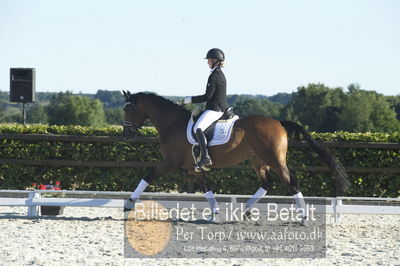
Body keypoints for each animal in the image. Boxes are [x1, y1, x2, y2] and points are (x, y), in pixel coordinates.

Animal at [122, 91, 350, 222]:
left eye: (128, 109)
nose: (126, 135)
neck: (172, 123)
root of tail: (278, 122)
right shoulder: (193, 168)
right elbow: (207, 188)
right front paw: (214, 214)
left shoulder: (170, 162)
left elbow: (147, 177)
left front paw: (129, 203)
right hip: (259, 161)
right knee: (266, 184)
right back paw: (245, 211)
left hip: (275, 160)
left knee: (291, 182)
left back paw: (303, 216)